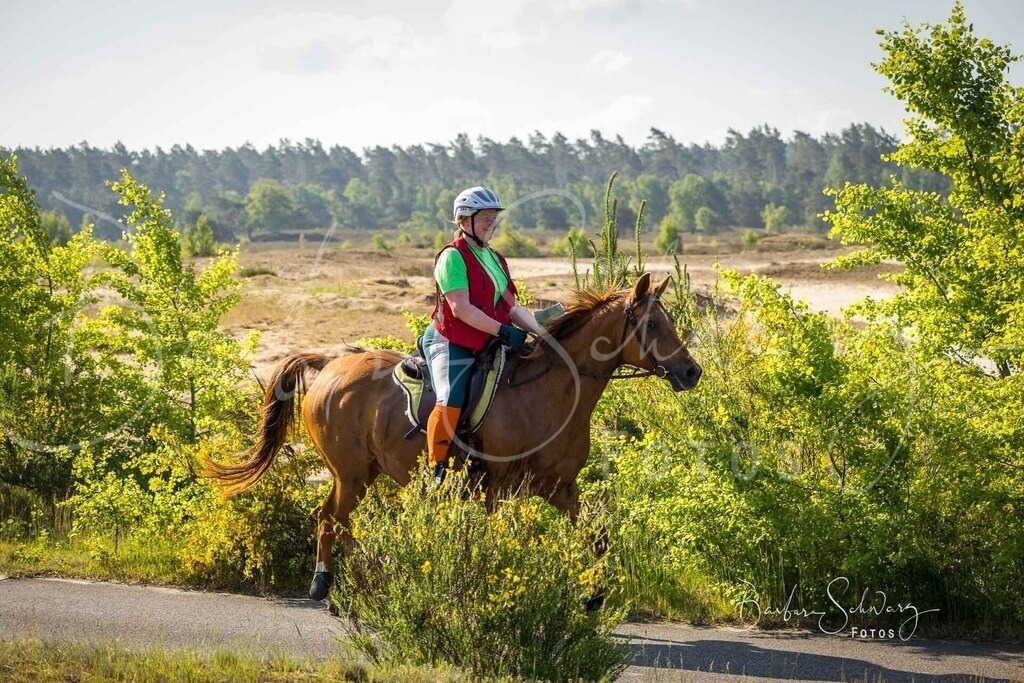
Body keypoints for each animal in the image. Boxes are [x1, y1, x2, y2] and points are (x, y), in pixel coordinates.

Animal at [203, 272, 702, 600]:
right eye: (652, 325)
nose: (691, 372)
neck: (551, 392)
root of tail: (330, 364)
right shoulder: (498, 488)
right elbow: (500, 543)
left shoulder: (559, 487)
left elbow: (597, 538)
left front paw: (595, 596)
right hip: (351, 474)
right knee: (331, 519)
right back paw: (327, 583)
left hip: (361, 474)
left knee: (339, 522)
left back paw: (368, 577)